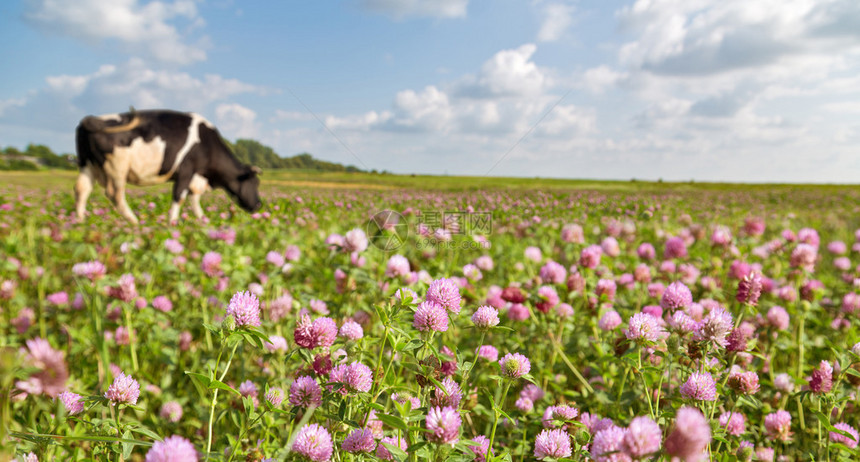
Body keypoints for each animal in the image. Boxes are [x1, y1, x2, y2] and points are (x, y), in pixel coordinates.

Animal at [74, 108, 262, 224]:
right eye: (254, 183)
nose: (259, 205)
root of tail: (90, 119)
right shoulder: (186, 171)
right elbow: (179, 196)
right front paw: (172, 222)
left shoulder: (195, 177)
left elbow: (194, 199)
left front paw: (203, 221)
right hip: (117, 167)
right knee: (115, 194)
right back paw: (134, 222)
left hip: (87, 164)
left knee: (82, 189)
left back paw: (80, 221)